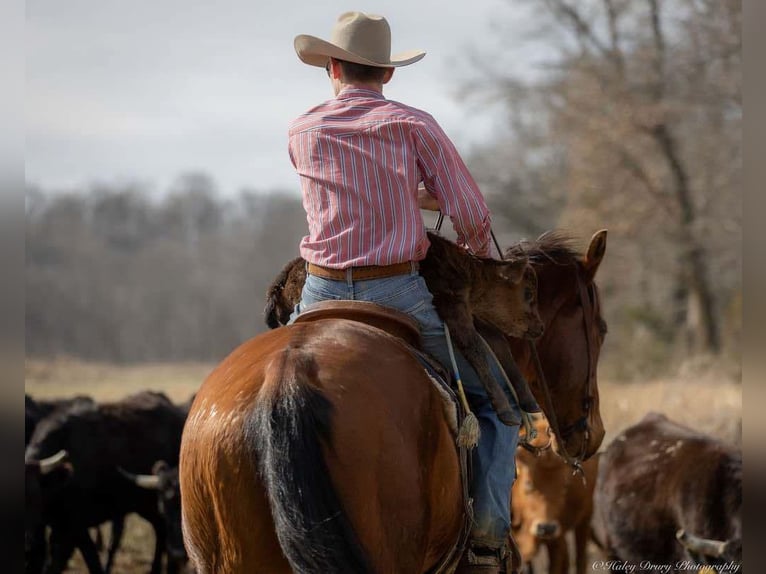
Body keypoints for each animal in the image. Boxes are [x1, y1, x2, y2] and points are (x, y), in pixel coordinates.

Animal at [512, 444, 604, 574]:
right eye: (528, 483)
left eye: (565, 485)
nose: (547, 528)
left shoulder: (556, 541)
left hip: (585, 517)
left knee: (580, 558)